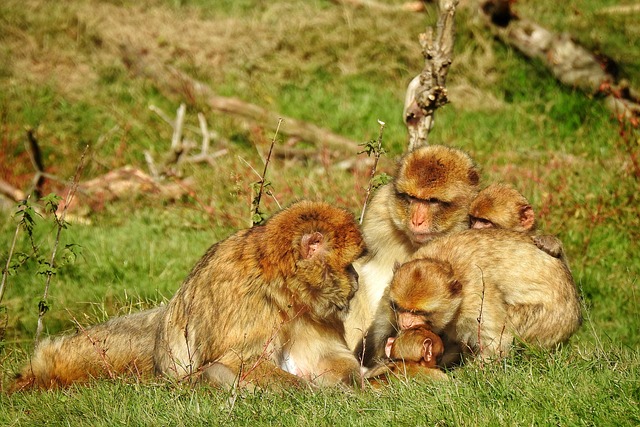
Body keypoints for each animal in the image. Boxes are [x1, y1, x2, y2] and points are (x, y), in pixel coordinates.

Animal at [153, 200, 366, 389]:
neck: (283, 287)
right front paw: (315, 393)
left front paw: (353, 386)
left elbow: (327, 356)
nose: (356, 276)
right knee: (214, 371)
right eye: (348, 266)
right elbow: (241, 360)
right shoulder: (246, 301)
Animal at [363, 229, 582, 368]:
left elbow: (497, 342)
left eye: (419, 312)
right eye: (399, 308)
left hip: (550, 324)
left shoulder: (475, 300)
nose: (405, 322)